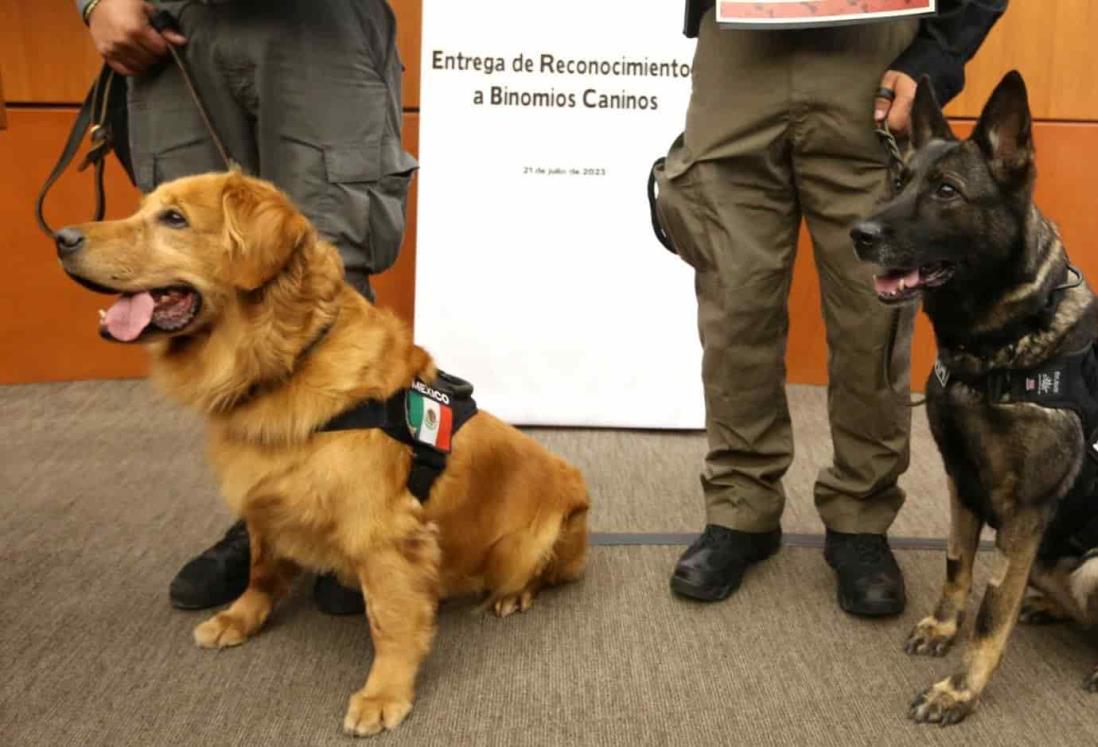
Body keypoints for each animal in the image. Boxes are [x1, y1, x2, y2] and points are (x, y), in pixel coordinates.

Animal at [57, 172, 592, 738]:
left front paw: (384, 694)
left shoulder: (385, 533)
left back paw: (512, 595)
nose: (61, 237)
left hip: (532, 541)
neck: (286, 362)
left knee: (543, 574)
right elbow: (261, 571)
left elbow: (391, 622)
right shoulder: (266, 501)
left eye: (174, 219)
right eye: (144, 209)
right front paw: (240, 617)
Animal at [852, 70, 1098, 725]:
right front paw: (942, 628)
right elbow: (957, 566)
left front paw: (959, 690)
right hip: (1051, 561)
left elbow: (991, 611)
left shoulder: (1025, 513)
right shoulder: (962, 483)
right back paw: (1047, 608)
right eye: (900, 181)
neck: (1000, 344)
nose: (859, 234)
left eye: (946, 191)